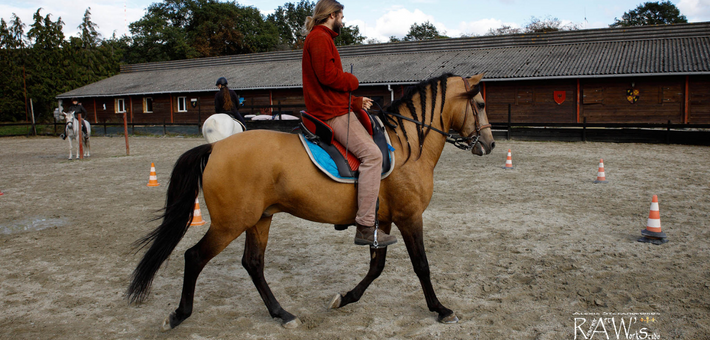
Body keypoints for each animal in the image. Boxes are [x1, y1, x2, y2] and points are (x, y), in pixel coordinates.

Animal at [128, 73, 496, 330]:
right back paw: (179, 315)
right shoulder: (409, 217)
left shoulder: (385, 221)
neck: (407, 146)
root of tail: (216, 147)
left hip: (259, 219)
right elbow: (421, 265)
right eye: (479, 105)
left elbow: (376, 267)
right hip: (230, 223)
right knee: (194, 257)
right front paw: (441, 309)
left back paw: (282, 314)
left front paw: (345, 299)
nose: (490, 144)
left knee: (253, 264)